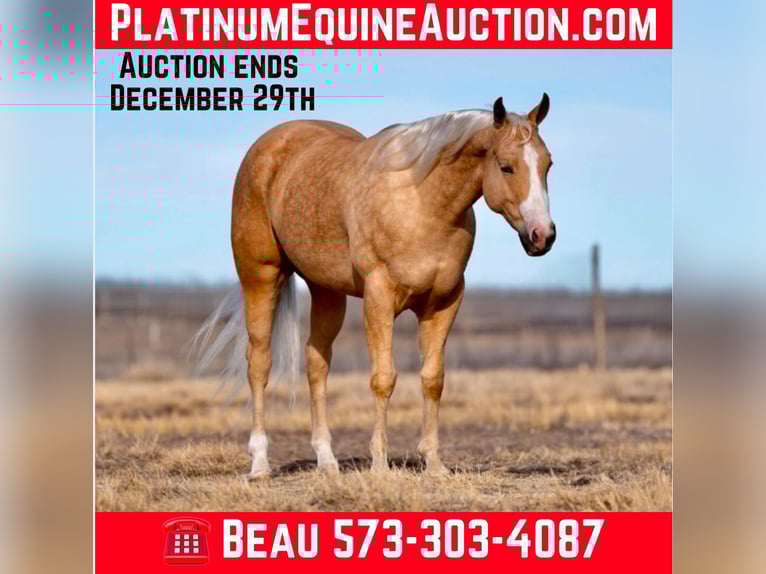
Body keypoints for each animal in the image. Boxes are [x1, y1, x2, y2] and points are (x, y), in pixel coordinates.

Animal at [195, 94, 556, 478]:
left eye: (548, 164)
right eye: (506, 167)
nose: (543, 236)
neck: (422, 203)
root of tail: (267, 146)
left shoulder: (443, 303)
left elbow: (433, 379)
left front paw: (434, 463)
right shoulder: (379, 297)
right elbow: (384, 379)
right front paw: (380, 465)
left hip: (326, 291)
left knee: (316, 363)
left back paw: (327, 461)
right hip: (261, 276)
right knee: (259, 363)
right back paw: (260, 463)